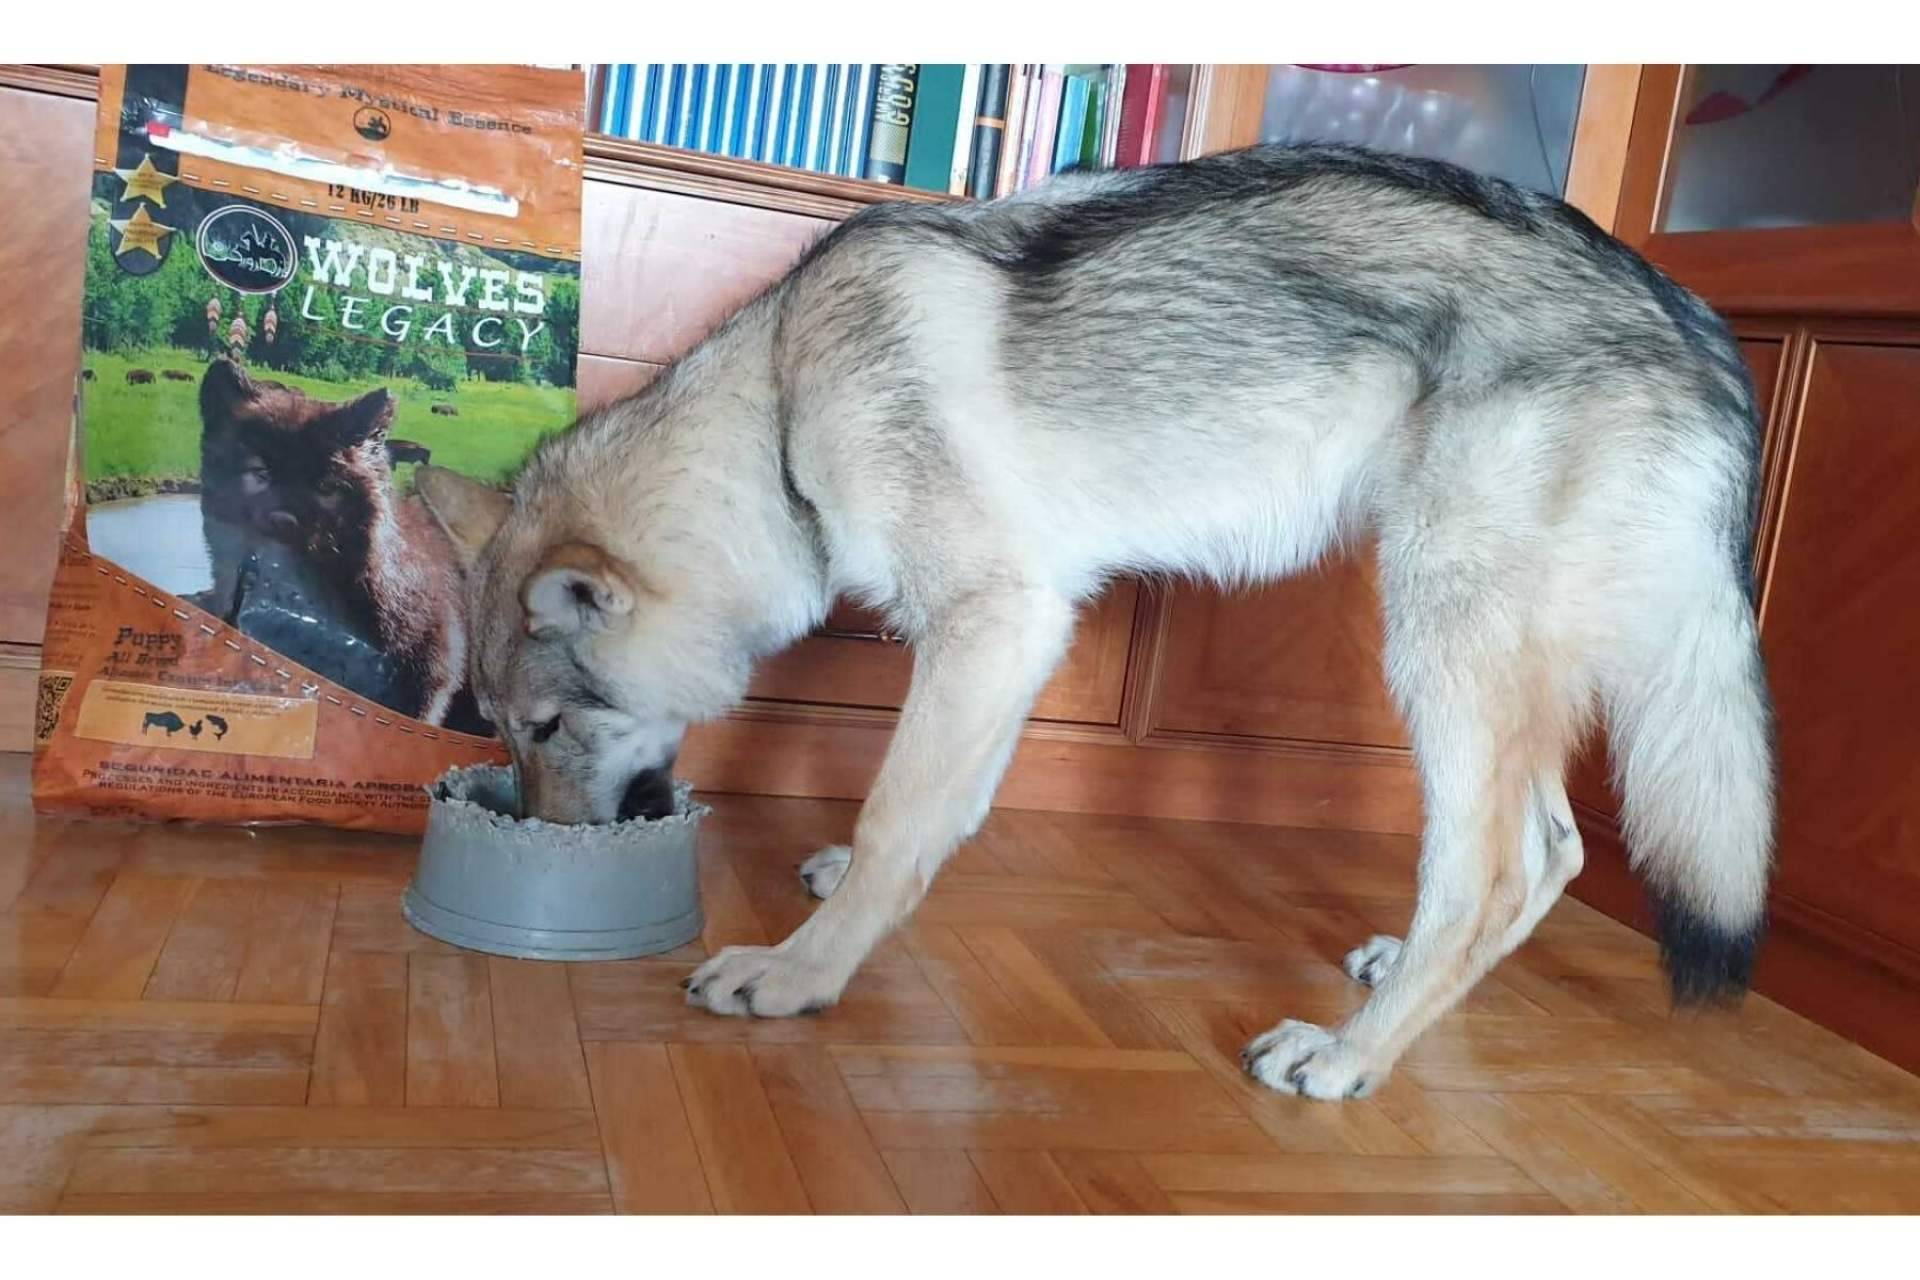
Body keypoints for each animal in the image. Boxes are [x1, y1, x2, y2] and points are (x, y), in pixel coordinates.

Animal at [416, 143, 1775, 1100]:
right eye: (501, 731)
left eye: (545, 725)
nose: (547, 840)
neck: (781, 414)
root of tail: (1700, 330)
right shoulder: (1004, 644)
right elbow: (928, 813)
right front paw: (843, 898)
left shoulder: (997, 623)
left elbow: (897, 812)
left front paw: (802, 971)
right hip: (1488, 670)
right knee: (1558, 848)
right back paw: (1402, 981)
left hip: (1437, 640)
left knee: (1501, 864)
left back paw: (1349, 1056)